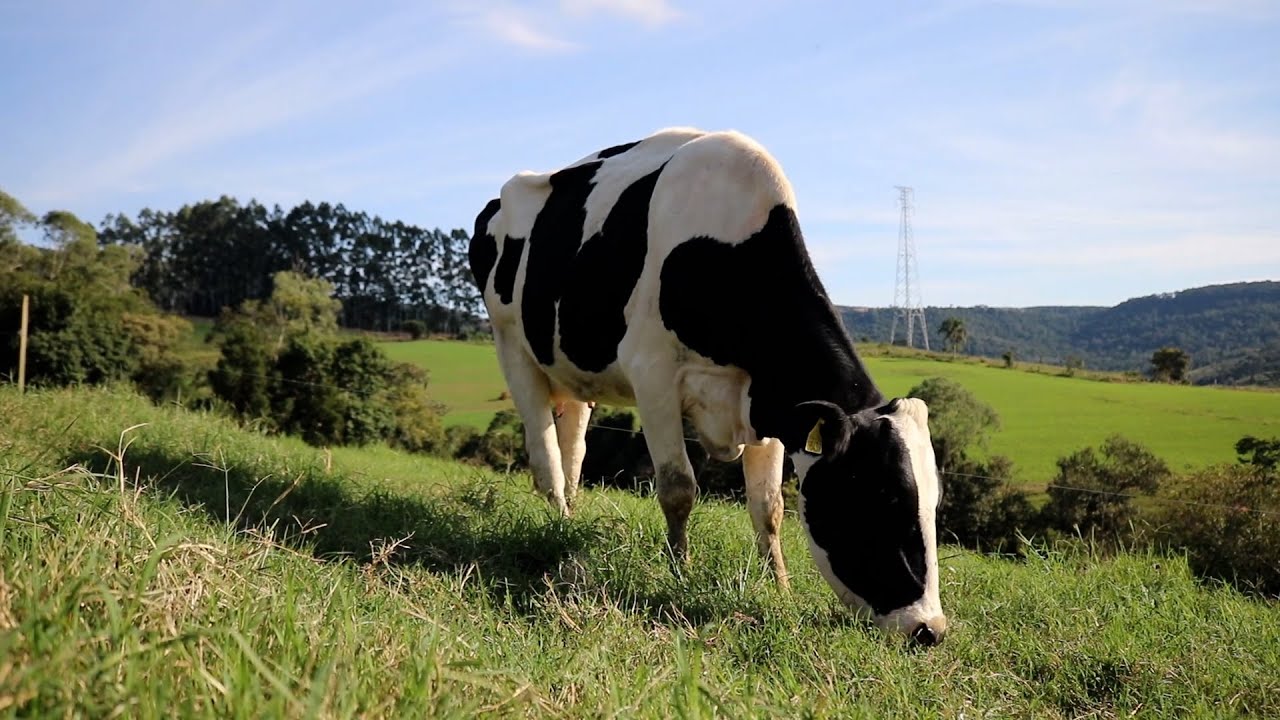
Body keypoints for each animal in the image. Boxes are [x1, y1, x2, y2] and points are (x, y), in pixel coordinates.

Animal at [467, 127, 947, 646]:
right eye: (883, 497)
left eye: (933, 504)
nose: (930, 629)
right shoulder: (653, 374)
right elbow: (679, 487)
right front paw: (681, 573)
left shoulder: (770, 401)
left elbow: (769, 505)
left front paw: (779, 588)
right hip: (512, 347)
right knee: (547, 460)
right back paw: (557, 524)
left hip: (573, 370)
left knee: (573, 449)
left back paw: (569, 525)